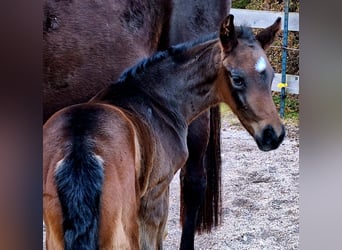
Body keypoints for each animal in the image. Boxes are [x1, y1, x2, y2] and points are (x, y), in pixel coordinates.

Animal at [44, 14, 284, 249]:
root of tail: (80, 148)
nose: (274, 134)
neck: (157, 101)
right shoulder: (156, 194)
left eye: (272, 76)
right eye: (237, 79)